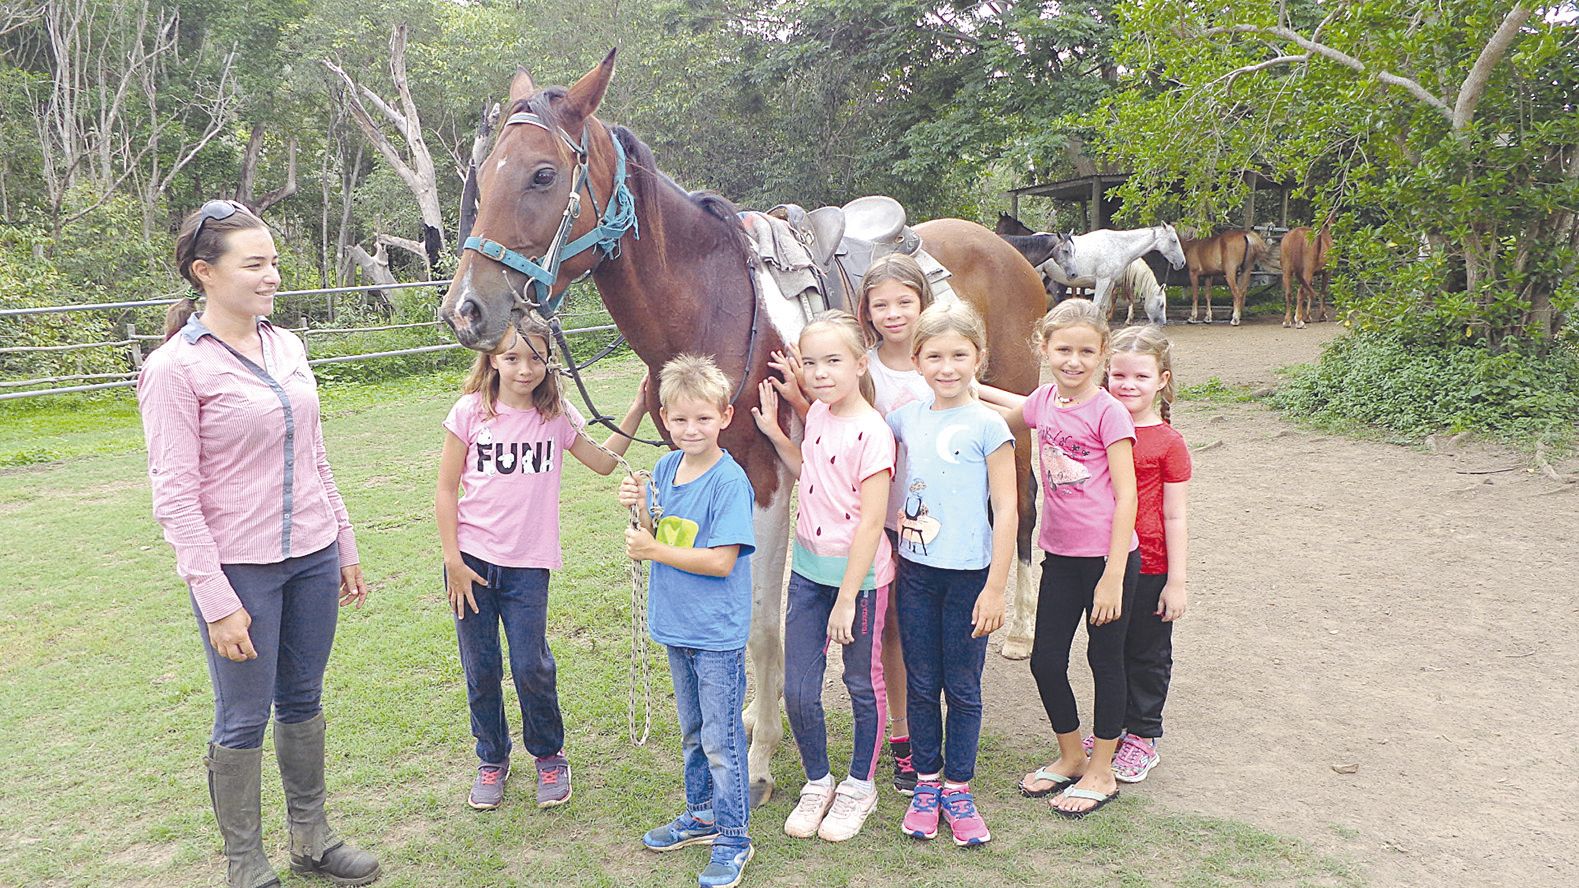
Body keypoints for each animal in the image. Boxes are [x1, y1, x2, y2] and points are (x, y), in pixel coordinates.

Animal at [435, 51, 1048, 805]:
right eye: (486, 175)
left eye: (542, 175)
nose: (464, 310)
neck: (713, 302)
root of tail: (1010, 249)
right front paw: (755, 715)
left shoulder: (765, 480)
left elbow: (758, 624)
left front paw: (755, 760)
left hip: (1013, 424)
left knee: (1023, 513)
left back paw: (1019, 632)